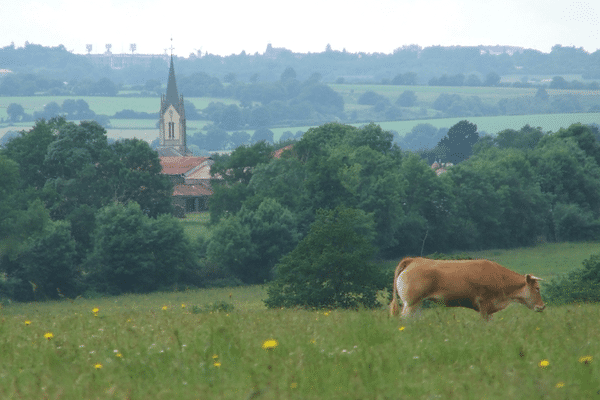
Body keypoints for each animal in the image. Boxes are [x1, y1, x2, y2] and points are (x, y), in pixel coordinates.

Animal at [386, 258, 548, 320]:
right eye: (537, 288)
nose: (542, 306)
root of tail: (414, 259)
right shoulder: (484, 305)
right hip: (411, 303)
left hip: (417, 304)